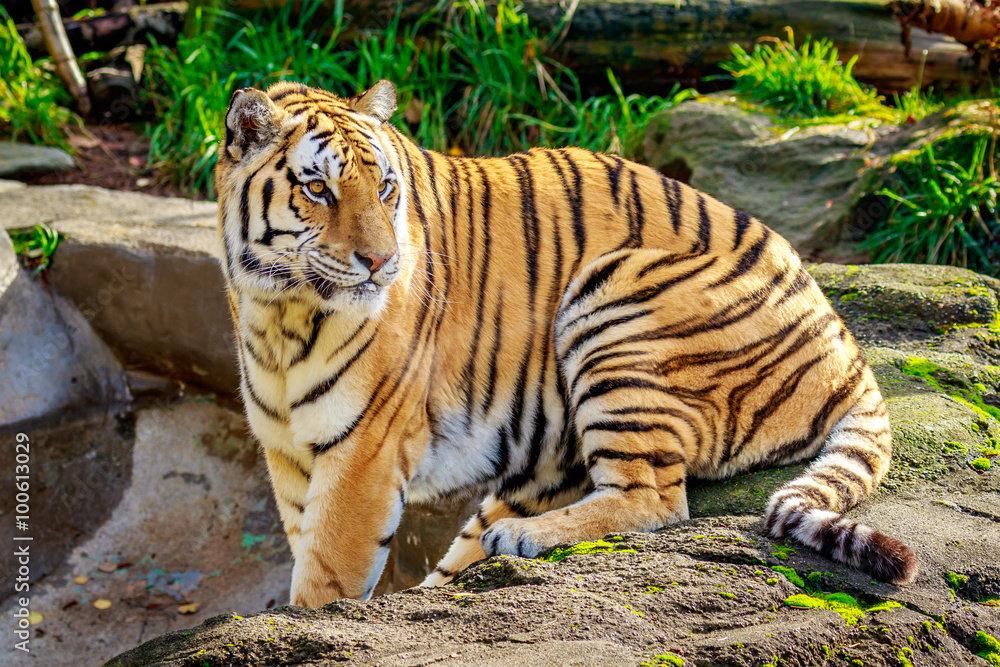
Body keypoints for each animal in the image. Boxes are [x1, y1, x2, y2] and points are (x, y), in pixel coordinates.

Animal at [215, 79, 919, 607]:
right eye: (318, 189)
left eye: (386, 189)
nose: (382, 263)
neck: (279, 311)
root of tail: (846, 349)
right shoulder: (288, 455)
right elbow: (304, 547)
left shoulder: (364, 450)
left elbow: (324, 578)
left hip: (615, 301)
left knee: (657, 498)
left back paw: (522, 539)